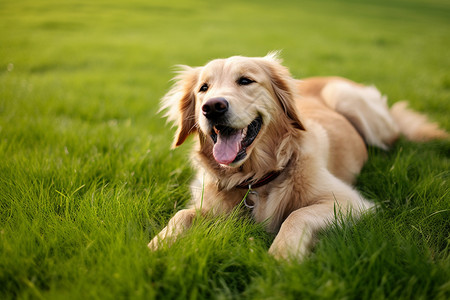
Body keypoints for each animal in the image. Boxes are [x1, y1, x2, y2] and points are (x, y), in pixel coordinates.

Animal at [149, 52, 446, 260]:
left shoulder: (353, 203)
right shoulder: (212, 207)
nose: (212, 107)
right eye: (204, 88)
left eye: (245, 80)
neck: (255, 180)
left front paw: (283, 255)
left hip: (349, 101)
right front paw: (157, 245)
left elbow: (298, 214)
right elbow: (182, 214)